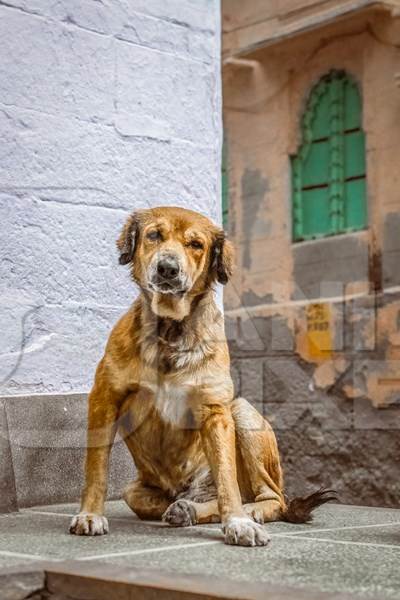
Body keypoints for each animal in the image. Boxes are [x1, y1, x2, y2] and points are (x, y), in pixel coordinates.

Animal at [70, 207, 336, 548]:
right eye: (154, 235)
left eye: (196, 244)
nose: (168, 268)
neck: (170, 329)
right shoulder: (104, 397)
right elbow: (96, 468)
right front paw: (90, 514)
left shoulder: (216, 410)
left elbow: (226, 478)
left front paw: (238, 522)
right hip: (136, 489)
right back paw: (186, 509)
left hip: (243, 413)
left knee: (272, 497)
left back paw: (249, 512)